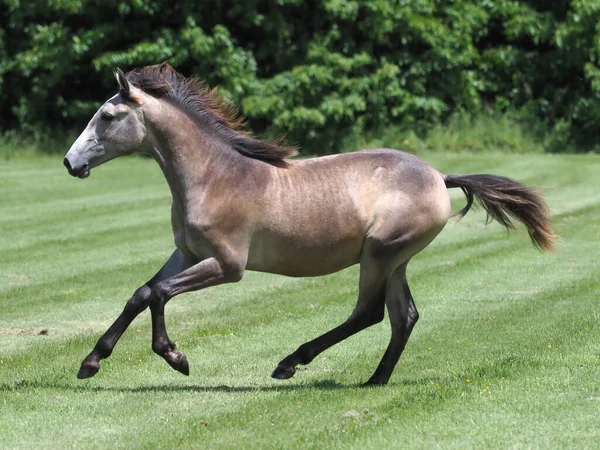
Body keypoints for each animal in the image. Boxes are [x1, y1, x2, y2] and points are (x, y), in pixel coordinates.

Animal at [63, 64, 556, 386]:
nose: (70, 163)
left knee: (369, 313)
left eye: (107, 116)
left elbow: (159, 293)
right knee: (404, 317)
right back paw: (375, 380)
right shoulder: (187, 253)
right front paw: (91, 363)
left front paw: (175, 357)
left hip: (380, 254)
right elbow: (142, 293)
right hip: (395, 260)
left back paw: (290, 362)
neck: (214, 176)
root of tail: (440, 177)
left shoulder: (227, 265)